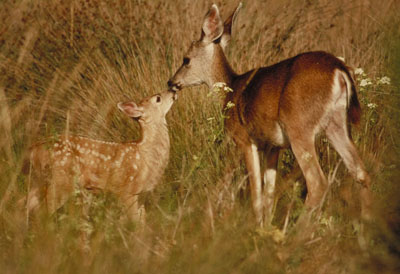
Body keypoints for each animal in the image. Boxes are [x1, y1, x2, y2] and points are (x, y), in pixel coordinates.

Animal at [25, 91, 177, 222]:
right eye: (158, 98)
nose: (173, 92)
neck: (147, 155)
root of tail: (34, 149)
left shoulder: (141, 196)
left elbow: (142, 222)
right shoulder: (128, 190)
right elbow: (133, 221)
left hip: (39, 180)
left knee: (26, 204)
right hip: (61, 179)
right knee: (41, 211)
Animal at [168, 2, 372, 225]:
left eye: (186, 59)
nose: (171, 82)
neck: (231, 90)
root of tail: (339, 69)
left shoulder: (245, 139)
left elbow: (256, 191)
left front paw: (257, 226)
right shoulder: (273, 146)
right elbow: (269, 192)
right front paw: (265, 225)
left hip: (299, 126)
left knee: (318, 183)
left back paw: (296, 231)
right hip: (337, 123)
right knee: (361, 171)